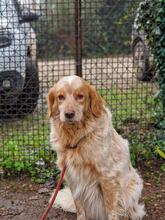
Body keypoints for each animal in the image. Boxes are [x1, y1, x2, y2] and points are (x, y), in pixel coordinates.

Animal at [47, 75, 145, 219]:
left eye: (80, 96)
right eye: (61, 97)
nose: (69, 114)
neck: (76, 138)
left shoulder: (107, 176)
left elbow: (112, 212)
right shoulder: (72, 177)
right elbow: (80, 208)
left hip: (134, 186)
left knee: (130, 211)